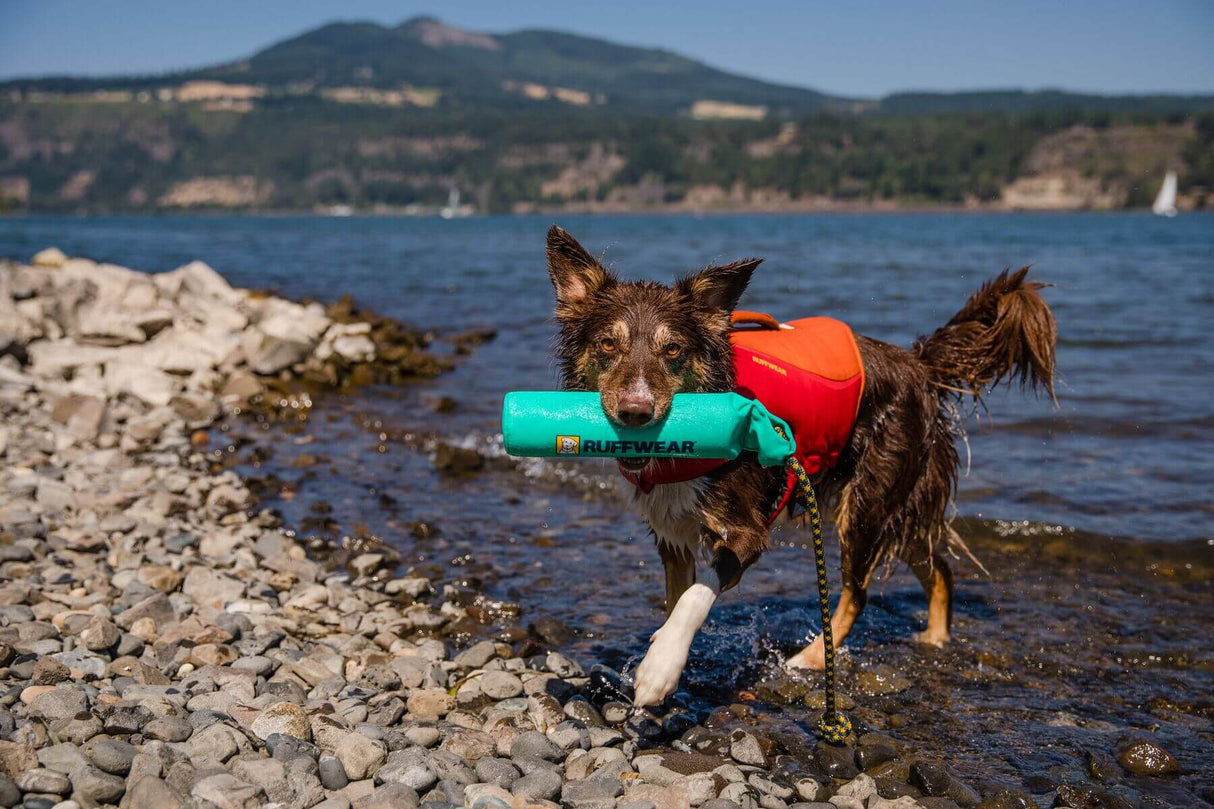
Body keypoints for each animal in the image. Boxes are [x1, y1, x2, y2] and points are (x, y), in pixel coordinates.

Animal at [546, 223, 1058, 704]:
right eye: (607, 345)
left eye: (672, 349)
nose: (635, 412)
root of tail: (917, 364)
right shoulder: (672, 533)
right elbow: (676, 599)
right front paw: (665, 656)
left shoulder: (749, 530)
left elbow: (695, 596)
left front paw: (660, 669)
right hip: (890, 505)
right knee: (939, 569)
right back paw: (933, 640)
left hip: (866, 502)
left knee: (858, 592)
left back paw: (809, 659)